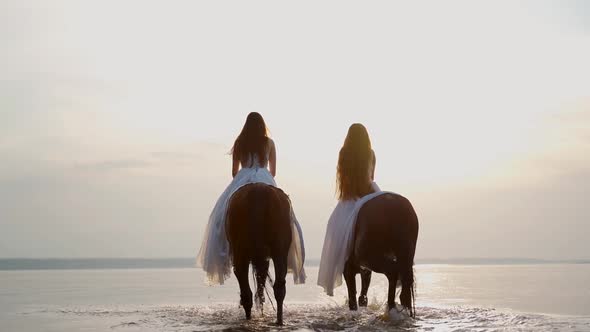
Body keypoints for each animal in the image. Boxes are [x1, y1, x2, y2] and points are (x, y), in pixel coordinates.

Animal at [227, 182, 294, 324]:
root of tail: (259, 190)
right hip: (279, 250)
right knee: (279, 288)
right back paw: (279, 321)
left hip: (241, 252)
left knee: (246, 293)